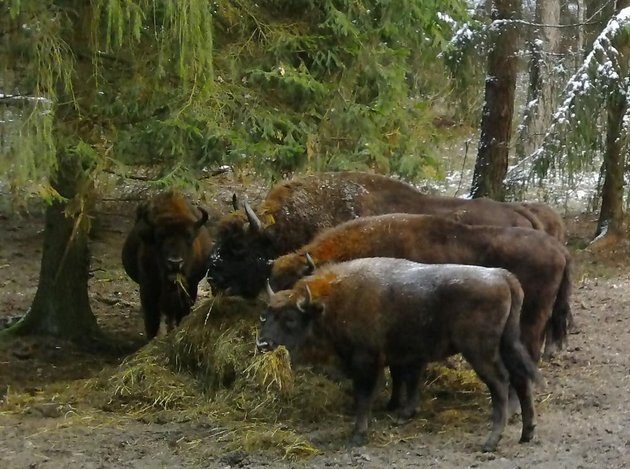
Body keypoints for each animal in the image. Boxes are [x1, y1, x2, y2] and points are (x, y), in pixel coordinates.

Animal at [122, 190, 214, 336]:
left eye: (189, 235)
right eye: (159, 236)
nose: (175, 263)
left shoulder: (190, 287)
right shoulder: (148, 288)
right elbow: (152, 321)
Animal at [260, 258, 540, 452]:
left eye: (290, 318)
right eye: (266, 315)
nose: (264, 343)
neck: (332, 302)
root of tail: (502, 276)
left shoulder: (366, 362)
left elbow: (365, 396)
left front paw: (358, 435)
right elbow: (402, 381)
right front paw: (399, 412)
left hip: (480, 352)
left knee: (501, 384)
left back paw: (491, 442)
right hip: (507, 344)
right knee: (520, 380)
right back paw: (526, 434)